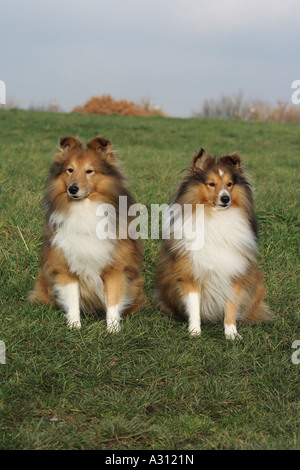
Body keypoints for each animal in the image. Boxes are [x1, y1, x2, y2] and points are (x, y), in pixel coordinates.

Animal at [28, 136, 144, 330]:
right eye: (70, 170)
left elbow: (113, 299)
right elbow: (72, 298)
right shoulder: (66, 267)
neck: (83, 208)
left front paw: (113, 329)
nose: (73, 189)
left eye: (89, 171)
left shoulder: (115, 267)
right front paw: (75, 327)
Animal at [156, 149, 270, 340]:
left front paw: (231, 334)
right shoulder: (190, 273)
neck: (215, 216)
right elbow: (194, 305)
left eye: (229, 184)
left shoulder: (233, 272)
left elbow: (231, 305)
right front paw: (194, 332)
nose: (225, 198)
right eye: (211, 184)